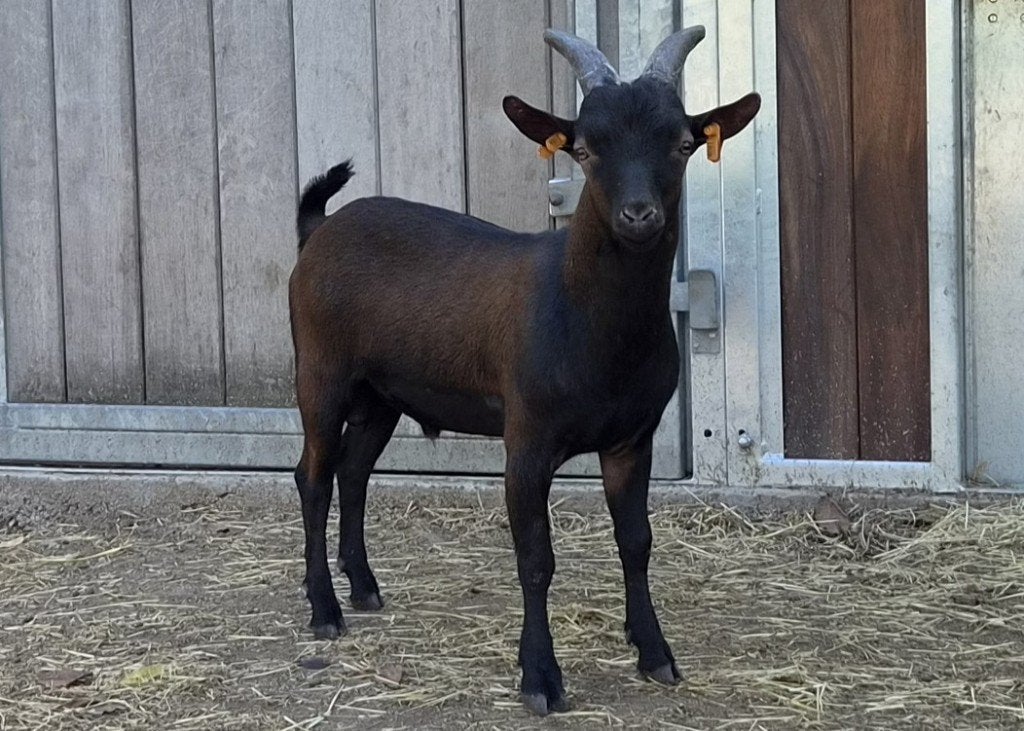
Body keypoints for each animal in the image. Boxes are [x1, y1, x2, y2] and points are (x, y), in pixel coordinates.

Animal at [288, 26, 760, 715]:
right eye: (585, 149)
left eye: (682, 144)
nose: (638, 216)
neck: (586, 323)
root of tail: (318, 229)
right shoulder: (528, 439)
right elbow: (536, 558)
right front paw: (540, 677)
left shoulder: (633, 439)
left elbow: (637, 543)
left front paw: (654, 653)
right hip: (320, 372)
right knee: (314, 476)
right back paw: (325, 610)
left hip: (383, 393)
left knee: (354, 472)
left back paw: (366, 587)